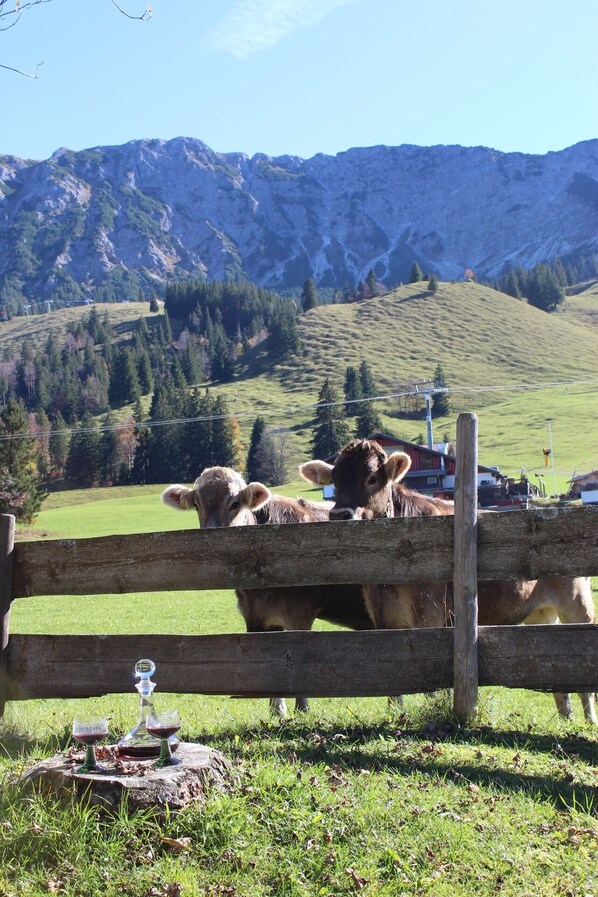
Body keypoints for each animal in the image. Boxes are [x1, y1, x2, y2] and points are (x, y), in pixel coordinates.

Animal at [162, 466, 372, 716]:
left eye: (234, 503)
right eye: (196, 504)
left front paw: (301, 711)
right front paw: (277, 712)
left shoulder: (299, 613)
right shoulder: (255, 617)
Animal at [302, 438, 596, 724]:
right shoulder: (383, 618)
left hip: (577, 602)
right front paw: (397, 717)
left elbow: (433, 688)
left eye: (372, 477)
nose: (339, 515)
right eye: (334, 480)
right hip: (540, 613)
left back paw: (589, 721)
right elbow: (393, 684)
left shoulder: (430, 617)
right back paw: (567, 720)